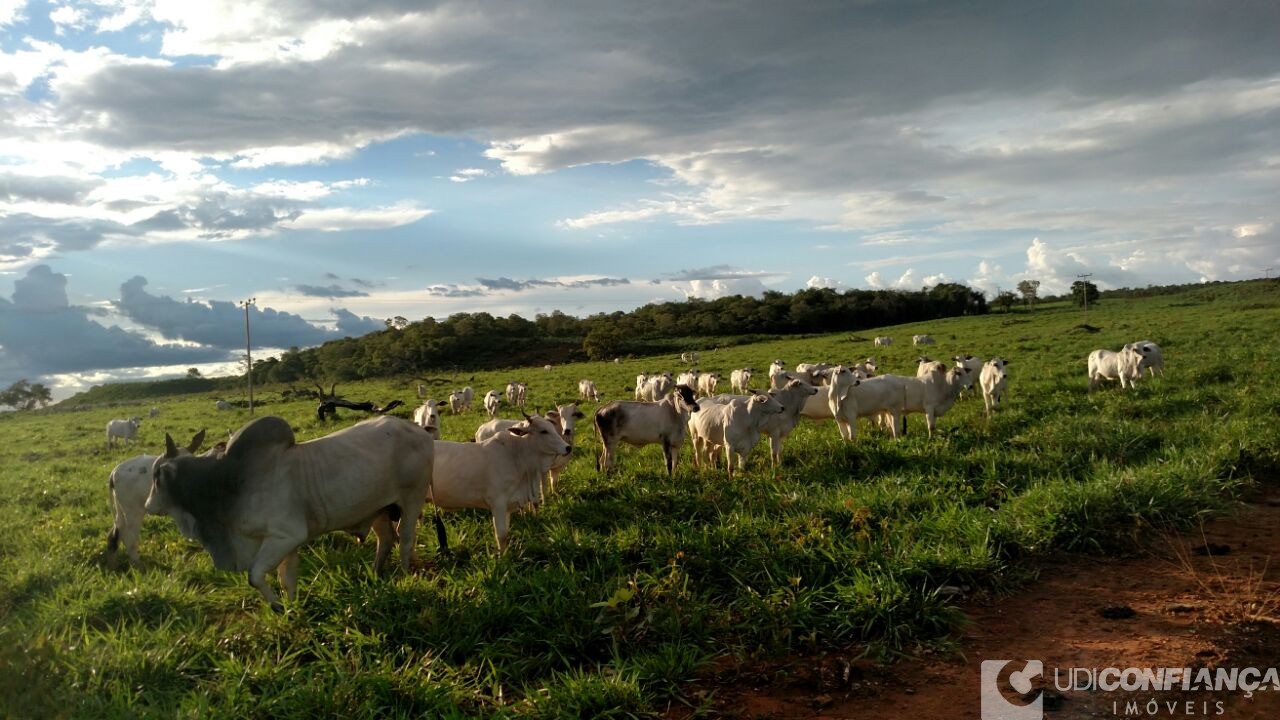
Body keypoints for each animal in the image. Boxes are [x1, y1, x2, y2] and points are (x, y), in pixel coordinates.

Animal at [146, 412, 430, 607]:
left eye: (157, 475)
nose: (148, 506)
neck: (226, 481)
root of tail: (419, 430)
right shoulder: (287, 542)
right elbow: (287, 578)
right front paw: (292, 607)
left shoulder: (286, 535)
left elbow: (255, 576)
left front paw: (277, 606)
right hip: (378, 509)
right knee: (387, 538)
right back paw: (375, 573)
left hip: (412, 499)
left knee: (405, 539)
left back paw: (404, 574)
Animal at [430, 409, 570, 548]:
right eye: (543, 431)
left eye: (552, 427)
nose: (568, 447)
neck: (515, 454)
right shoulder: (498, 503)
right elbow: (501, 535)